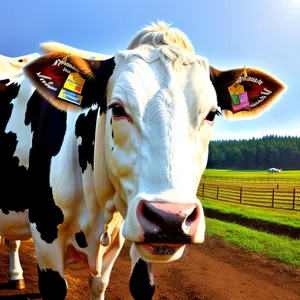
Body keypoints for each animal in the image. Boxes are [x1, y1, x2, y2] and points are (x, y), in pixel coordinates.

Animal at [0, 19, 286, 298]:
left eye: (212, 114)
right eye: (117, 108)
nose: (171, 219)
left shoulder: (126, 233)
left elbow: (128, 284)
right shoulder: (45, 230)